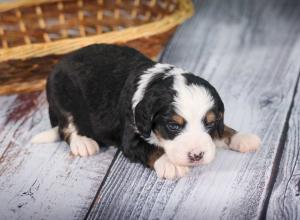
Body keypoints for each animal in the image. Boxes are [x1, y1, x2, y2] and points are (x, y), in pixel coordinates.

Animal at [32, 43, 260, 180]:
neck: (156, 81)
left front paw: (242, 137)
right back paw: (83, 142)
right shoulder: (131, 137)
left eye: (210, 123)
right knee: (66, 126)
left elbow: (224, 129)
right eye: (173, 126)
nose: (196, 155)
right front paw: (170, 163)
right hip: (61, 95)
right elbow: (152, 149)